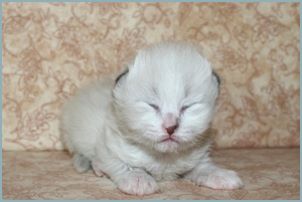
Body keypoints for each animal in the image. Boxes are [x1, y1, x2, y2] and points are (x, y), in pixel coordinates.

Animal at [60, 41, 244, 195]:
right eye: (152, 105)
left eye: (188, 106)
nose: (170, 127)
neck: (162, 157)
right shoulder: (106, 146)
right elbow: (121, 164)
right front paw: (138, 180)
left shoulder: (196, 158)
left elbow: (204, 167)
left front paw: (220, 175)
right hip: (72, 134)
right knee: (79, 153)